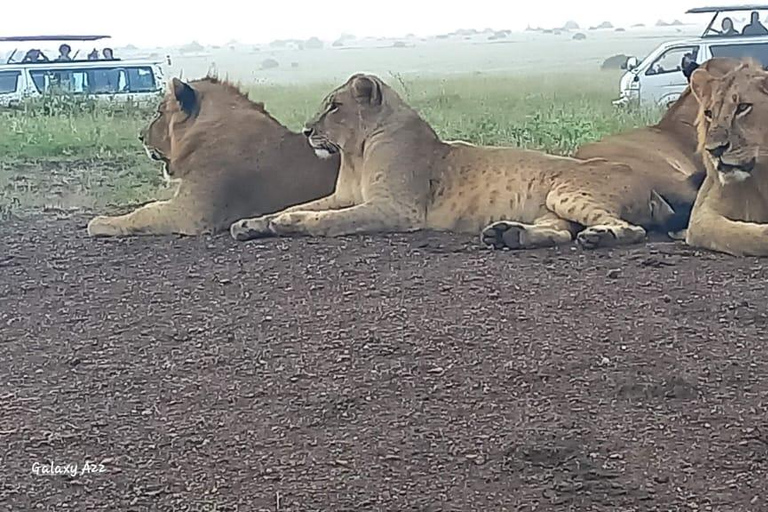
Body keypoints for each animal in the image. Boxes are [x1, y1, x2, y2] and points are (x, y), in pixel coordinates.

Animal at [228, 73, 696, 251]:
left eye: (334, 106)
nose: (307, 130)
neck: (356, 152)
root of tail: (650, 188)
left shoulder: (397, 209)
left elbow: (328, 220)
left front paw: (290, 224)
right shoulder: (343, 195)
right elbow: (299, 205)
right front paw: (253, 223)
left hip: (567, 193)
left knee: (629, 229)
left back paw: (598, 238)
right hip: (551, 206)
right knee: (559, 233)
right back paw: (508, 235)